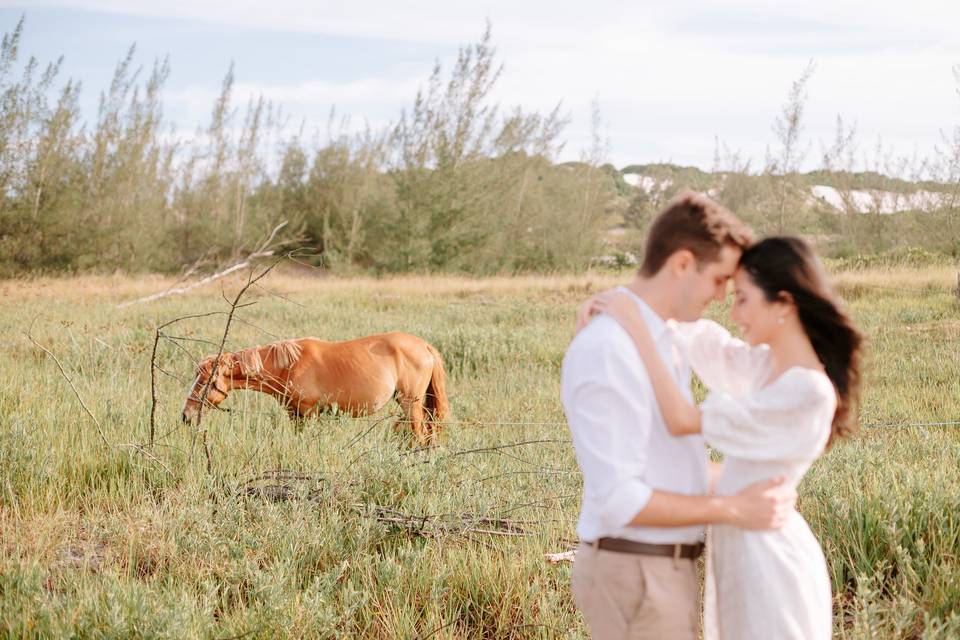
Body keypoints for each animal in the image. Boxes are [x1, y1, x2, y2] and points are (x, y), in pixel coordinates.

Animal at [183, 330, 450, 444]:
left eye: (205, 381)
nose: (186, 415)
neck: (289, 365)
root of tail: (425, 346)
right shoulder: (295, 414)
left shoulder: (308, 412)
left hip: (411, 404)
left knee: (421, 436)